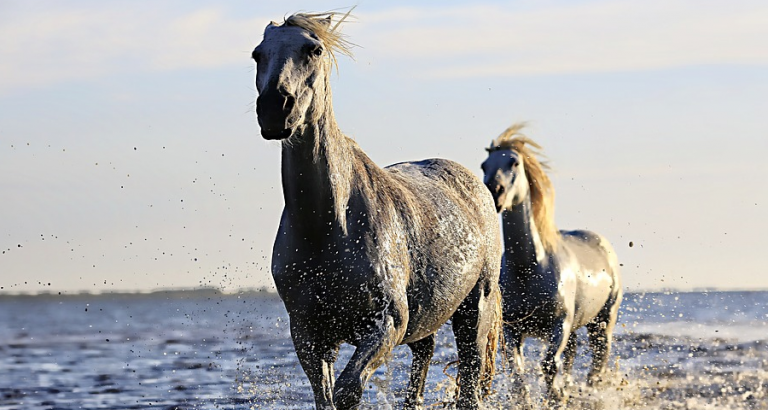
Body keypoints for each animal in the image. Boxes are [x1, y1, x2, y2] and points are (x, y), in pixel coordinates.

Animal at [252, 11, 504, 408]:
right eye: (257, 54)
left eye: (314, 49)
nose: (276, 108)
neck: (328, 226)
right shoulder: (309, 335)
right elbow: (327, 396)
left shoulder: (386, 325)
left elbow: (347, 390)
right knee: (422, 365)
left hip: (474, 311)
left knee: (470, 382)